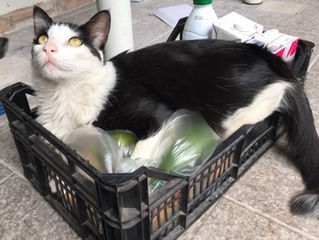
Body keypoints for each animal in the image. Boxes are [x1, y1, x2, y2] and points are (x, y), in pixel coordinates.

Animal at [31, 7, 319, 218]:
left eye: (75, 42)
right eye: (42, 39)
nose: (48, 49)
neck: (65, 94)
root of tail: (276, 63)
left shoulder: (158, 112)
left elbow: (141, 156)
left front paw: (139, 186)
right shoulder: (53, 130)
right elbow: (57, 154)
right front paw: (59, 182)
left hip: (229, 105)